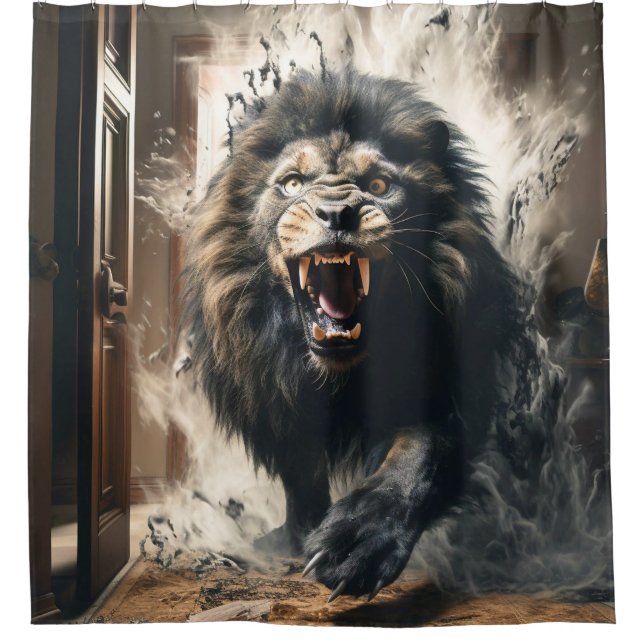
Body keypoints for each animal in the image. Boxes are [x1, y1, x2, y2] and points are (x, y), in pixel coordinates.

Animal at [182, 70, 522, 601]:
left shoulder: (445, 391)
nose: (336, 213)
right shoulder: (279, 396)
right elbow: (301, 478)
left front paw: (358, 541)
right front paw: (295, 540)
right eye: (293, 183)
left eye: (378, 184)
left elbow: (417, 460)